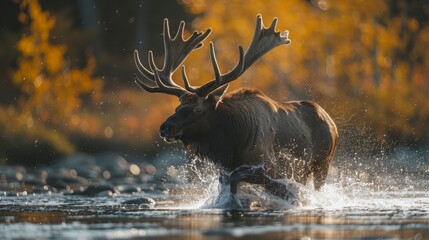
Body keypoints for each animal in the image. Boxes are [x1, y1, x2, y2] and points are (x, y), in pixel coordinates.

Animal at [134, 15, 338, 206]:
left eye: (198, 109)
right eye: (178, 107)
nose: (165, 127)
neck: (231, 145)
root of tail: (331, 122)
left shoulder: (270, 166)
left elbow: (238, 180)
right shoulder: (224, 170)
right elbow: (228, 184)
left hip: (322, 164)